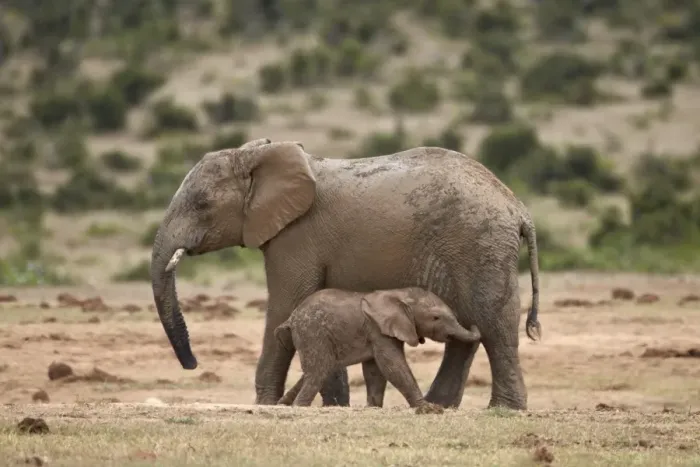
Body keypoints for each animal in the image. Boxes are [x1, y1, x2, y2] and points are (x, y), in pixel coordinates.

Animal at [274, 287, 481, 411]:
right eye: (436, 318)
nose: (473, 322)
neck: (400, 295)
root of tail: (291, 318)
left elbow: (375, 369)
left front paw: (372, 408)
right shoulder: (379, 330)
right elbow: (392, 365)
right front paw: (428, 409)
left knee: (317, 369)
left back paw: (283, 404)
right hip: (312, 332)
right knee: (319, 369)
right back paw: (299, 407)